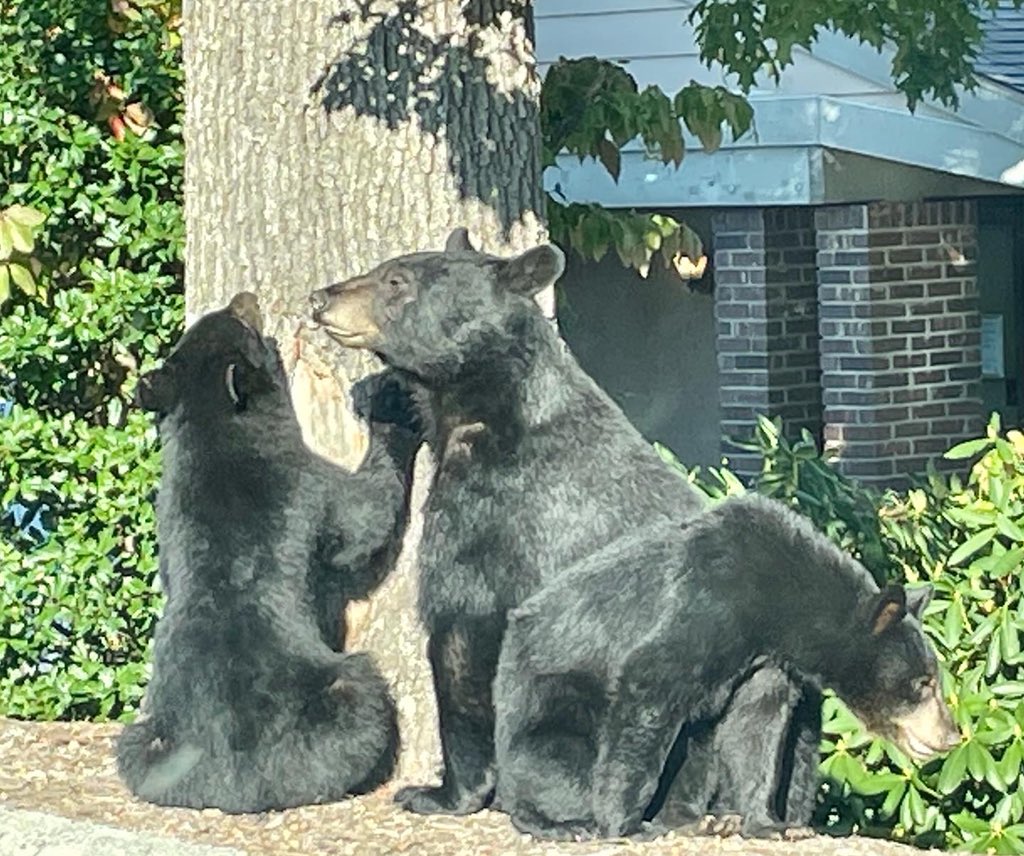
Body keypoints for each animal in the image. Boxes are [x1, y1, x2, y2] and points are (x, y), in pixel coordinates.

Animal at [116, 292, 417, 812]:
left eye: (222, 317)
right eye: (241, 322)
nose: (245, 297)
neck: (215, 429)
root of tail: (235, 779)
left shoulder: (167, 502)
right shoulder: (307, 480)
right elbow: (363, 518)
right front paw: (392, 406)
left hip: (147, 743)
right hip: (339, 696)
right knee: (361, 701)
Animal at [307, 229, 822, 824]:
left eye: (396, 280)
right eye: (385, 269)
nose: (322, 298)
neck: (489, 410)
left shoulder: (495, 516)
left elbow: (461, 629)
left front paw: (440, 793)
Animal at [492, 492, 961, 840]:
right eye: (923, 684)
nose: (951, 735)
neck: (783, 609)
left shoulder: (765, 664)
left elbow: (757, 725)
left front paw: (771, 824)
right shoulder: (707, 603)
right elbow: (650, 686)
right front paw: (624, 825)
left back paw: (704, 819)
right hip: (547, 701)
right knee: (555, 763)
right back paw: (564, 823)